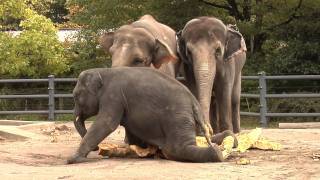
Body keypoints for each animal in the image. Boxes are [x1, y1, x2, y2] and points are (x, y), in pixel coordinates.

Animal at [68, 67, 238, 163]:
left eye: (75, 96)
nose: (97, 149)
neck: (103, 71)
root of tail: (193, 101)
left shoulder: (113, 96)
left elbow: (106, 123)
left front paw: (72, 159)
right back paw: (229, 139)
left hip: (176, 118)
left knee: (178, 148)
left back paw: (216, 153)